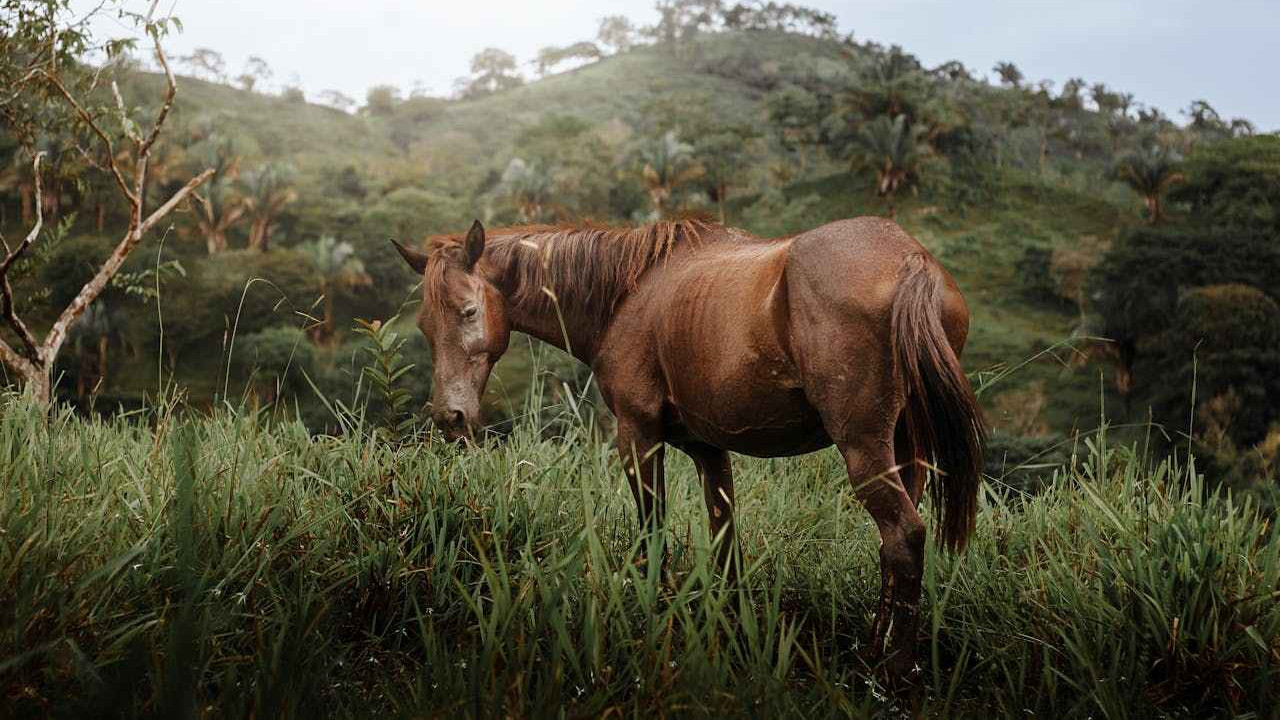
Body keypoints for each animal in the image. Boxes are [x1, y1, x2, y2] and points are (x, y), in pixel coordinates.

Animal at [394, 213, 983, 676]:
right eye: (424, 324)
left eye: (469, 312)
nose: (450, 417)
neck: (626, 294)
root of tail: (911, 260)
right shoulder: (708, 451)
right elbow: (726, 547)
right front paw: (731, 630)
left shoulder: (638, 437)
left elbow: (652, 533)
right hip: (905, 449)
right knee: (892, 546)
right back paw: (876, 648)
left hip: (864, 448)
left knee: (904, 536)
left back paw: (893, 670)